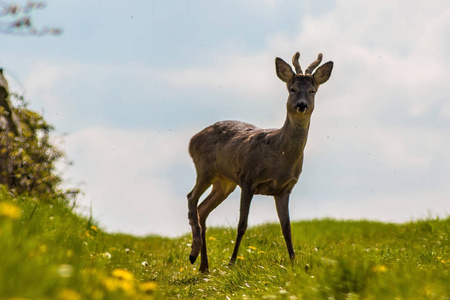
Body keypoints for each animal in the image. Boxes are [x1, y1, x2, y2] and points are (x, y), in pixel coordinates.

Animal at [187, 51, 334, 272]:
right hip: (204, 170)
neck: (279, 157)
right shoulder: (247, 179)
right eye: (292, 89)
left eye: (312, 90)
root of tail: (192, 139)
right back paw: (193, 253)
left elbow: (287, 227)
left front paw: (294, 262)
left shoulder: (284, 189)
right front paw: (231, 263)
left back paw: (204, 266)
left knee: (202, 210)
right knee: (191, 199)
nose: (301, 105)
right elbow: (242, 225)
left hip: (224, 183)